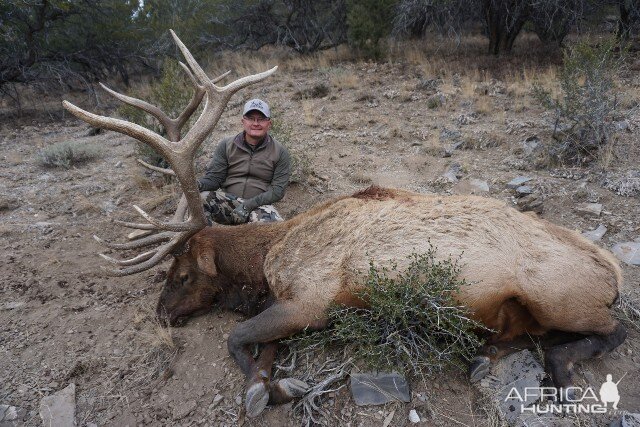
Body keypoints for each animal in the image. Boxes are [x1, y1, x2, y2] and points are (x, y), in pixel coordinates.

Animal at [63, 30, 624, 418]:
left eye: (180, 274)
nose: (160, 314)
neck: (263, 261)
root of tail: (614, 272)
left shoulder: (310, 300)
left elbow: (238, 339)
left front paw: (269, 389)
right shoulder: (286, 304)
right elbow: (261, 347)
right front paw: (272, 381)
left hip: (556, 295)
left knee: (611, 331)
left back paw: (555, 368)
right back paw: (485, 354)